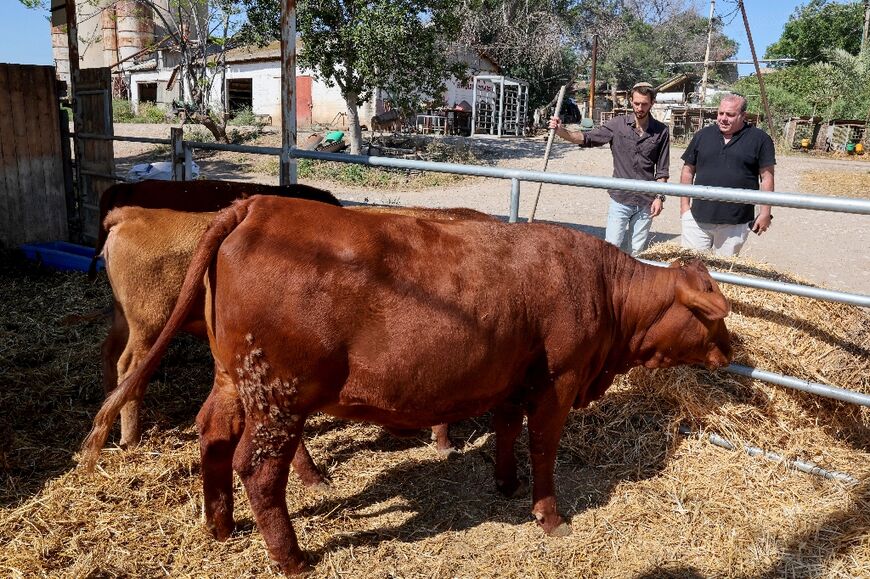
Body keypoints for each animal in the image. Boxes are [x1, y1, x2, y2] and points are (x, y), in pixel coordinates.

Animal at [83, 198, 736, 576]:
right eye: (712, 316)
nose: (732, 351)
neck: (601, 286)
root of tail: (255, 205)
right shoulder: (559, 379)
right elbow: (544, 447)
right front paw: (548, 515)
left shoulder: (510, 374)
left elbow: (506, 428)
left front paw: (505, 483)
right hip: (280, 393)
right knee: (259, 468)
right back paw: (292, 558)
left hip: (235, 378)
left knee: (213, 436)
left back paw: (220, 527)